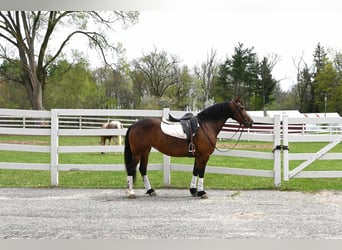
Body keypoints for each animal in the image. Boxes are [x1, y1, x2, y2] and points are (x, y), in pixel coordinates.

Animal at [124, 96, 252, 198]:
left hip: (146, 151)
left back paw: (150, 190)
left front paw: (193, 190)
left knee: (143, 169)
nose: (250, 122)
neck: (206, 125)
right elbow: (201, 172)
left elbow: (195, 171)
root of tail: (134, 125)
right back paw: (131, 193)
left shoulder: (198, 156)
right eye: (242, 108)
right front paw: (202, 192)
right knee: (131, 168)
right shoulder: (204, 156)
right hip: (137, 153)